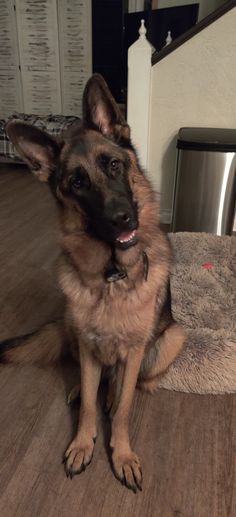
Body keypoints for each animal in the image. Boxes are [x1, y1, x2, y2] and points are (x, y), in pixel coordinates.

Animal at [2, 73, 185, 492]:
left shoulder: (133, 352)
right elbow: (88, 401)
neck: (112, 275)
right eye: (77, 183)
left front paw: (122, 454)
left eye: (114, 165)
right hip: (74, 331)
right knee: (92, 383)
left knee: (126, 385)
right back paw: (79, 388)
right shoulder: (87, 347)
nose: (122, 219)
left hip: (172, 338)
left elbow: (124, 408)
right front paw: (84, 442)